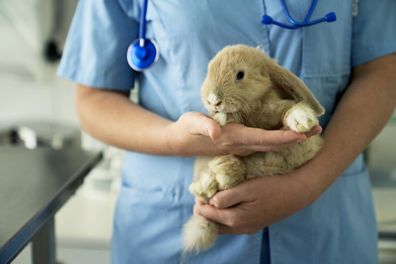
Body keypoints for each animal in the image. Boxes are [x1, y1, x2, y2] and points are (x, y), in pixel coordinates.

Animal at [183, 44, 324, 254]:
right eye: (209, 70)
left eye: (240, 75)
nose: (213, 100)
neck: (254, 111)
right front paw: (222, 118)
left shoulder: (277, 109)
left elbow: (289, 110)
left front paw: (302, 120)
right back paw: (213, 180)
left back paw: (219, 176)